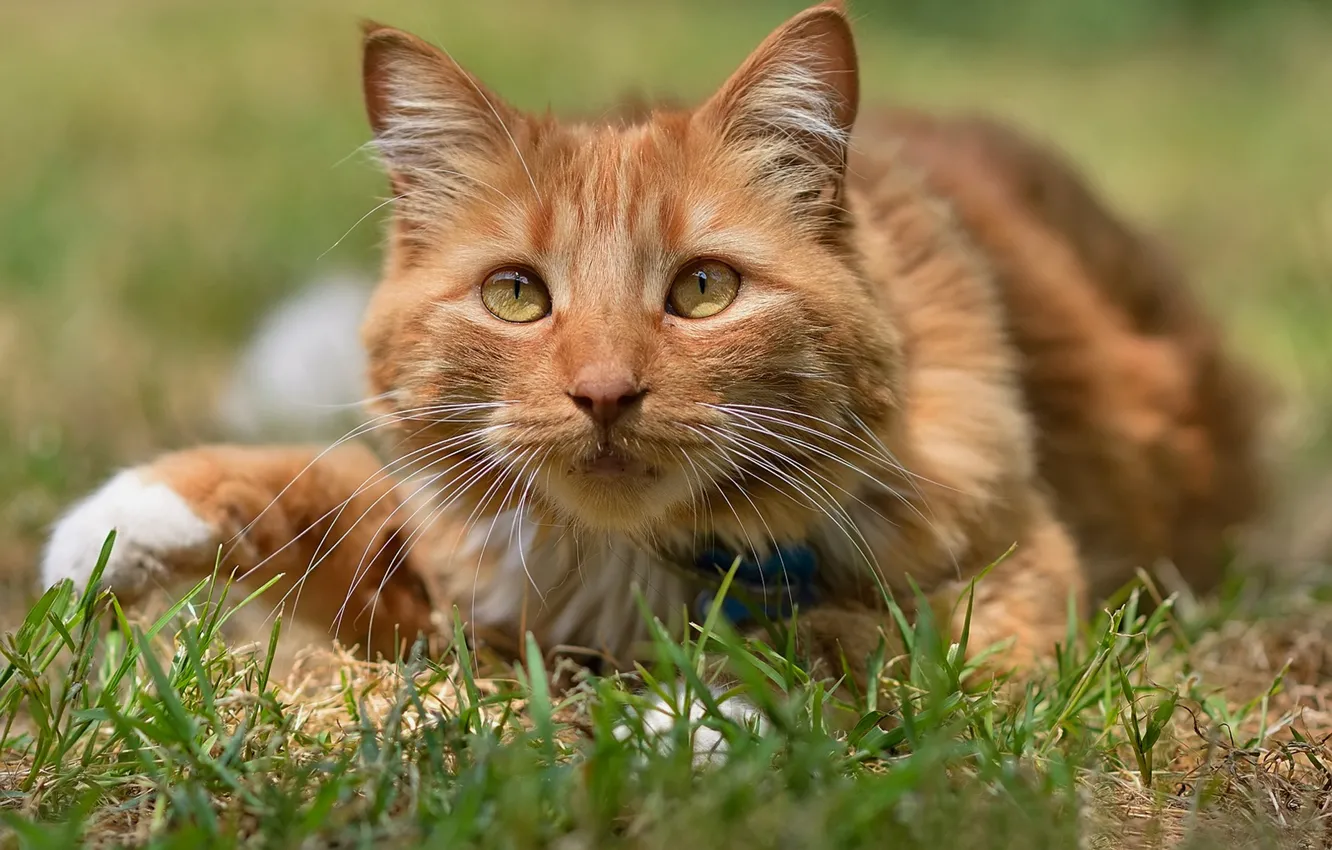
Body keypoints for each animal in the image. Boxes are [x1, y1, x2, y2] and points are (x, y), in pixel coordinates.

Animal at [41, 0, 1262, 735]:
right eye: (516, 295)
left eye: (703, 290)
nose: (603, 392)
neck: (633, 566)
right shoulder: (459, 583)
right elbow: (308, 487)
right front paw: (108, 532)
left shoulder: (1013, 587)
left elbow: (821, 647)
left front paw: (672, 725)